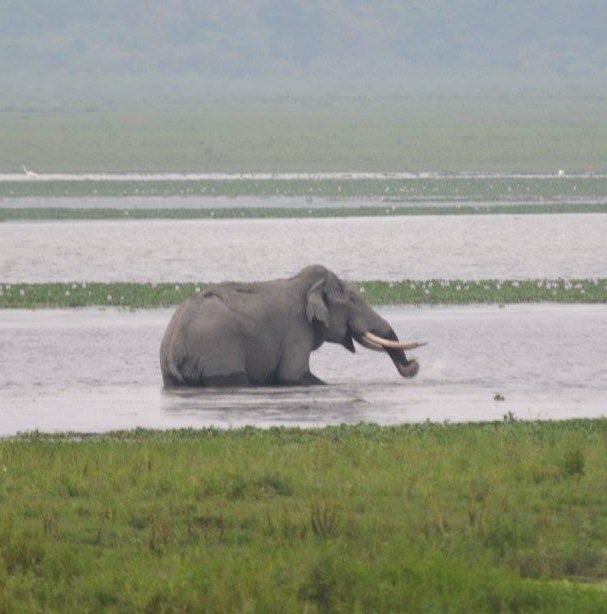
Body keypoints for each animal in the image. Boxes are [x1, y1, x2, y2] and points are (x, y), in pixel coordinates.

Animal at [162, 266, 428, 390]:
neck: (306, 284)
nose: (414, 364)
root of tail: (176, 343)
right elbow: (293, 375)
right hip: (218, 349)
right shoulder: (296, 331)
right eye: (353, 300)